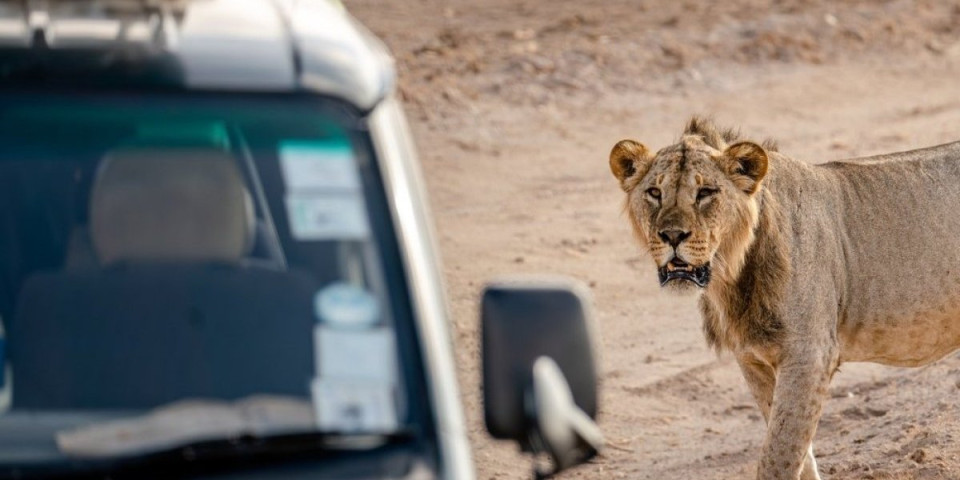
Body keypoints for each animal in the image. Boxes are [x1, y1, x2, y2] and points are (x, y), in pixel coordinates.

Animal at [612, 117, 960, 480]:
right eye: (654, 193)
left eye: (705, 192)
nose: (672, 235)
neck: (732, 277)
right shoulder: (752, 360)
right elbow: (797, 453)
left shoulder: (810, 356)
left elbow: (778, 456)